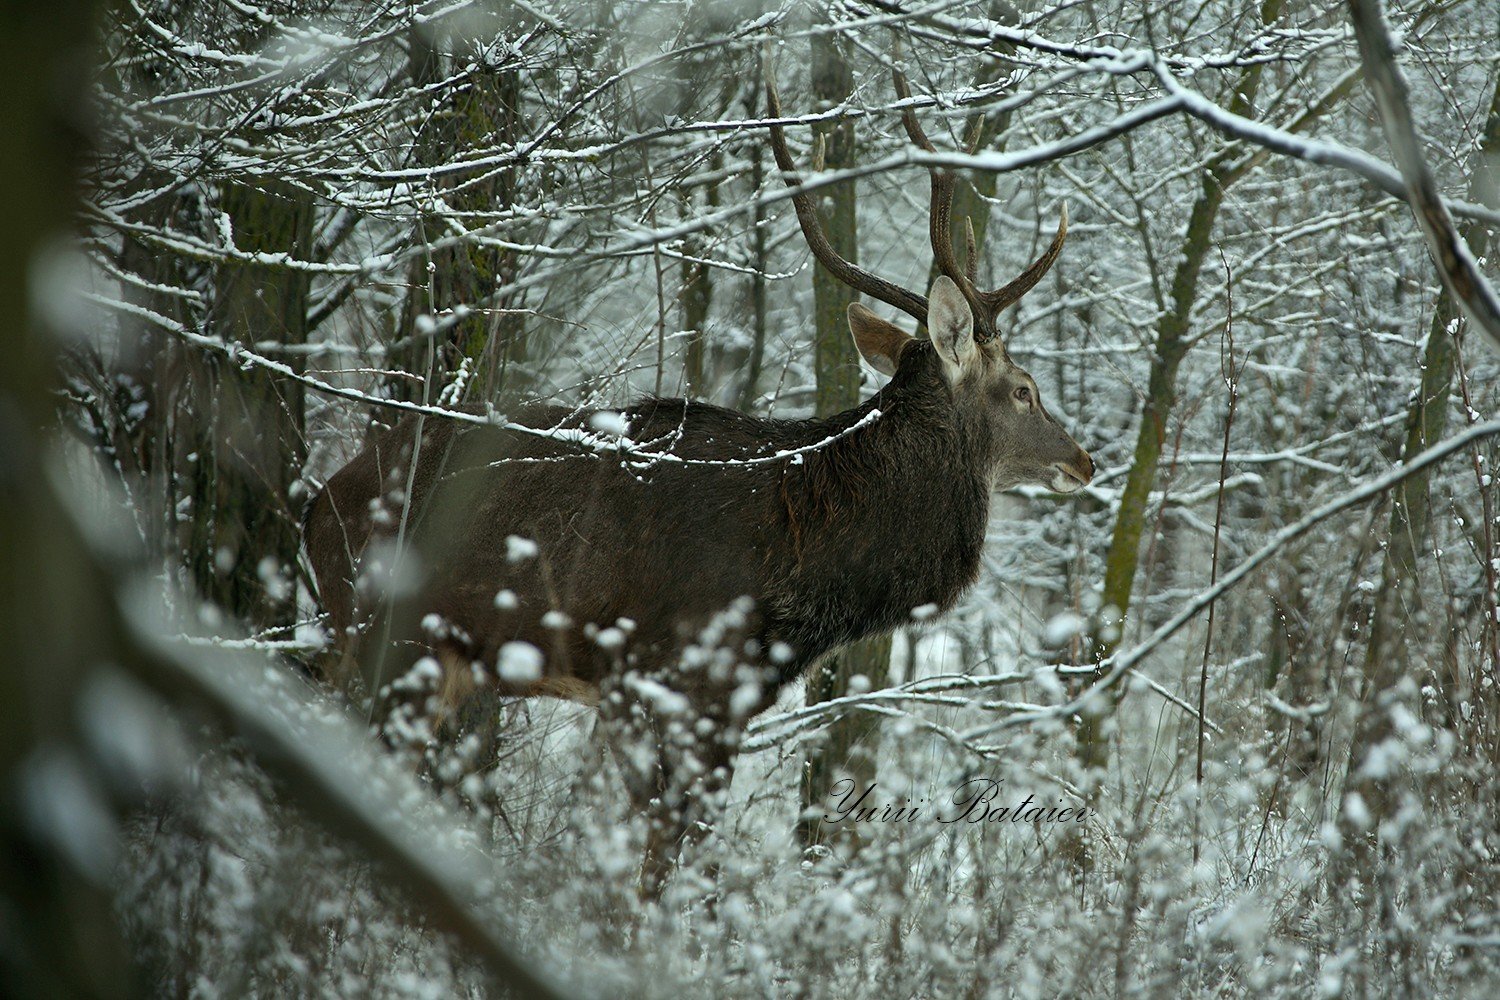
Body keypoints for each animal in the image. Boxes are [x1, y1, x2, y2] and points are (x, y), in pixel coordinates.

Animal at [304, 68, 1098, 899]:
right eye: (1023, 389)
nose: (1083, 460)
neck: (801, 571)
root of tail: (318, 506)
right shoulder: (660, 678)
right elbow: (658, 856)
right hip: (388, 638)